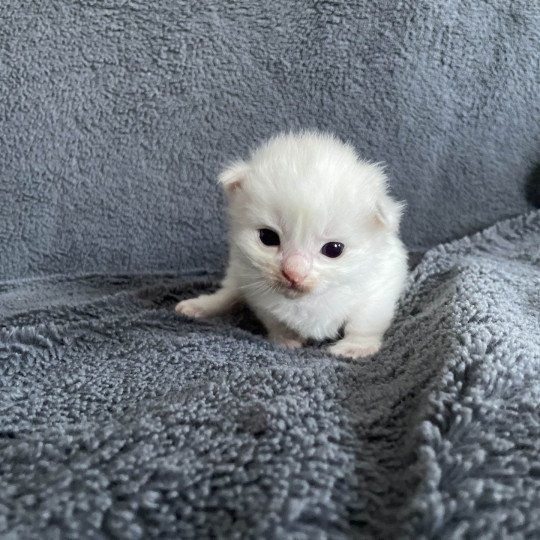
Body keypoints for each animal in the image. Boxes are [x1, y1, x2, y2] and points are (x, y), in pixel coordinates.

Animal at [175, 131, 408, 358]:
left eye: (333, 249)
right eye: (268, 238)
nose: (293, 274)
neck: (308, 300)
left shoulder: (380, 286)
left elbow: (364, 321)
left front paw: (356, 347)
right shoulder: (256, 289)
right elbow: (274, 319)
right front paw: (284, 338)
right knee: (228, 293)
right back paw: (199, 306)